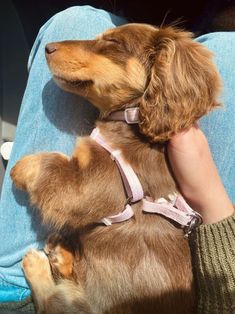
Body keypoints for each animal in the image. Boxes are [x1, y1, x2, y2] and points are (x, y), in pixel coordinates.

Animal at [10, 23, 220, 314]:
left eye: (112, 43)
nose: (48, 47)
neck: (130, 118)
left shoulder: (90, 182)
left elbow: (48, 162)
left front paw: (17, 168)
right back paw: (61, 253)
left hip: (78, 305)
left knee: (50, 301)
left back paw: (37, 263)